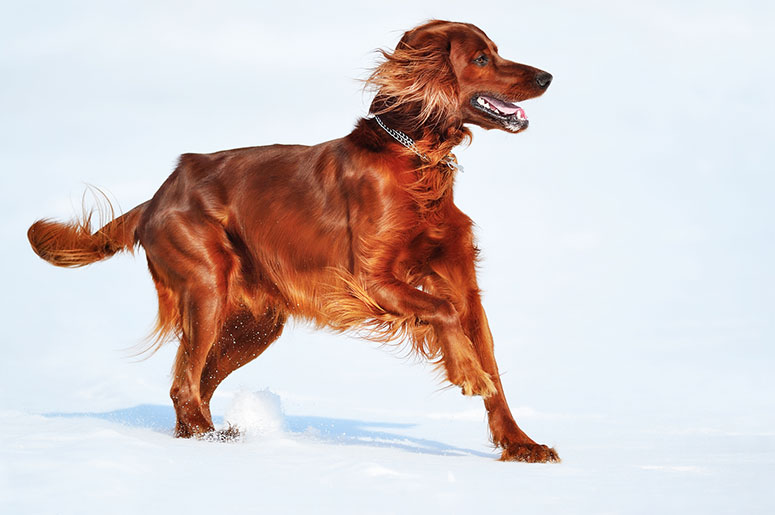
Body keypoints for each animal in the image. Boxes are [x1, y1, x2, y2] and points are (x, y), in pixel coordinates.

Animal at [25, 20, 556, 464]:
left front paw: (520, 445)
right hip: (207, 287)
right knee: (183, 383)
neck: (415, 160)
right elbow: (444, 316)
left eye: (496, 51)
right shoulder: (370, 280)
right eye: (481, 58)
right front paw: (467, 372)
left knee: (198, 383)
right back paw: (209, 438)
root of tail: (157, 196)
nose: (547, 77)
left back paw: (205, 434)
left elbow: (492, 366)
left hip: (255, 324)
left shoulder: (464, 285)